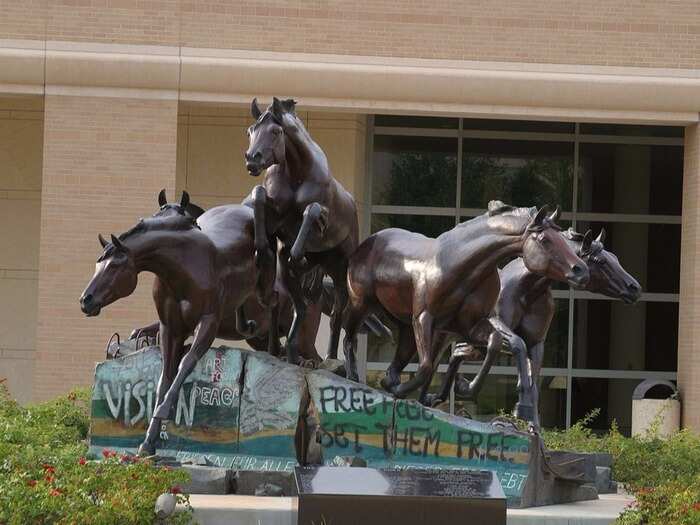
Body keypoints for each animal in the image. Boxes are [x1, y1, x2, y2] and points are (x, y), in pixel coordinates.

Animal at [342, 202, 588, 422]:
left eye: (563, 240)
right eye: (546, 240)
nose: (581, 271)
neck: (462, 266)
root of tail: (369, 241)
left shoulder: (470, 326)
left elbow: (496, 343)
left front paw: (465, 388)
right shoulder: (424, 318)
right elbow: (425, 367)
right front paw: (404, 391)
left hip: (407, 327)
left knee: (399, 359)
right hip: (361, 304)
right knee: (348, 334)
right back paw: (355, 376)